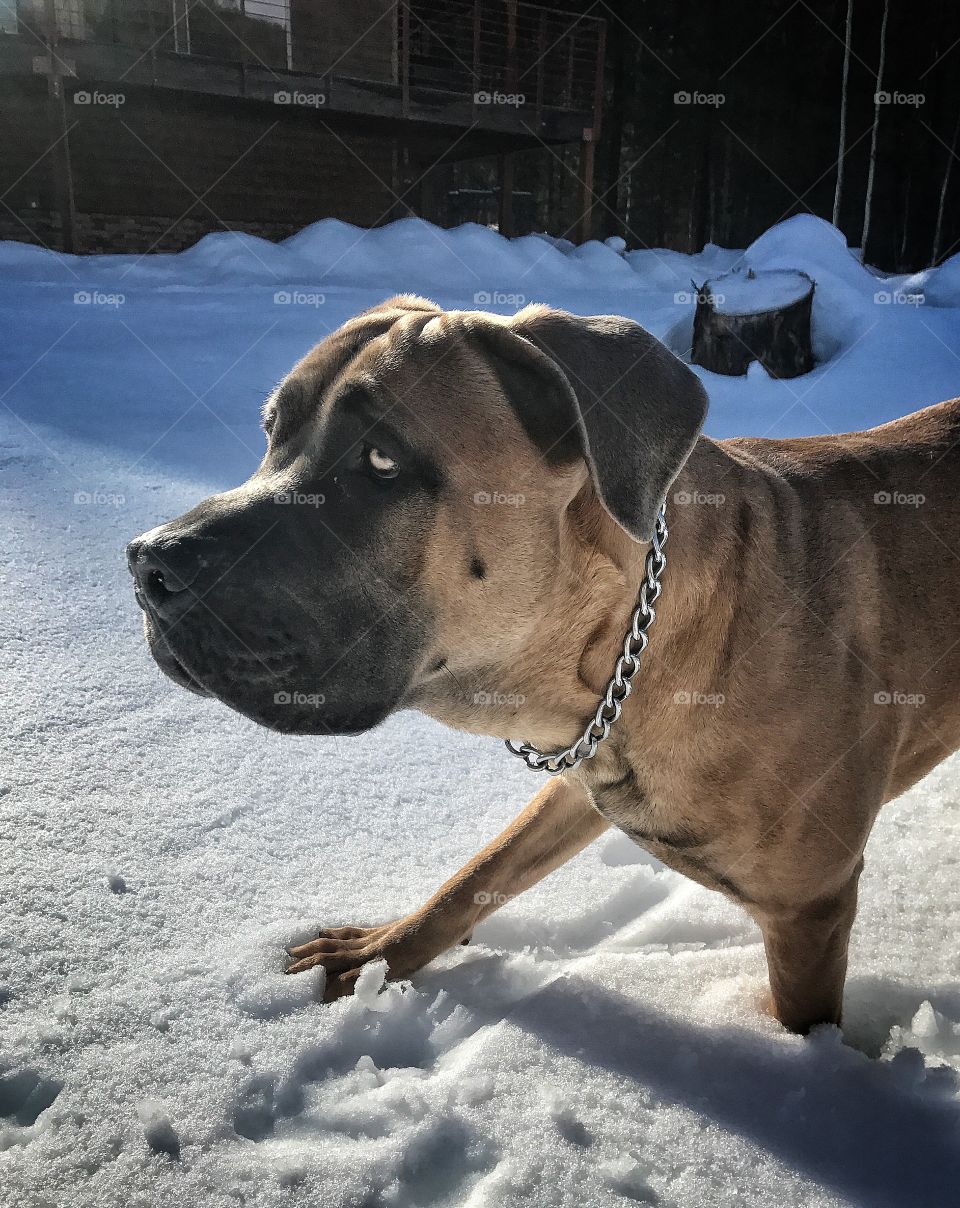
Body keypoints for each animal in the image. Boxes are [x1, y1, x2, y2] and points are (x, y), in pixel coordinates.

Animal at [127, 297, 960, 1034]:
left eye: (382, 459)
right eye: (272, 430)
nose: (148, 564)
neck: (640, 658)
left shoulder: (810, 910)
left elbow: (801, 1018)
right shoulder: (581, 773)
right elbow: (480, 872)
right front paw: (381, 954)